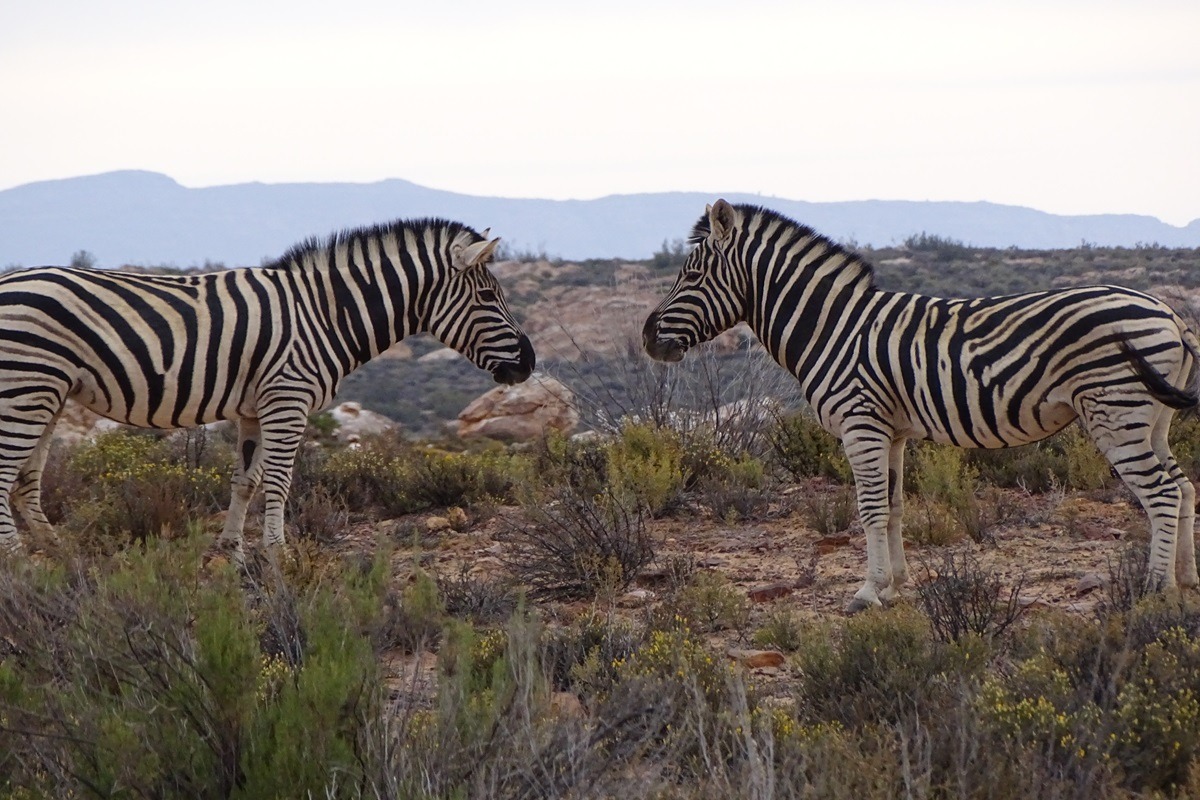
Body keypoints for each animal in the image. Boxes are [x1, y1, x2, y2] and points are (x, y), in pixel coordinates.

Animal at [0, 215, 535, 561]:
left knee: (25, 483)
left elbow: (247, 481)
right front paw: (279, 557)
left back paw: (61, 560)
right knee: (8, 479)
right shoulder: (288, 400)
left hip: (48, 395)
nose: (529, 364)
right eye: (487, 296)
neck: (325, 314)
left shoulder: (254, 408)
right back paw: (19, 564)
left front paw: (233, 554)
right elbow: (279, 481)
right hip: (27, 389)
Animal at [648, 200, 1200, 614]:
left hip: (1116, 413)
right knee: (1183, 487)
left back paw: (1155, 590)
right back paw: (1187, 580)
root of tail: (1169, 313)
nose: (648, 339)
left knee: (1161, 494)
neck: (833, 327)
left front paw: (868, 592)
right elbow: (893, 507)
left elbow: (870, 508)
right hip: (1152, 419)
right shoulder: (890, 431)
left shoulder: (861, 423)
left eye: (691, 276)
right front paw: (896, 586)